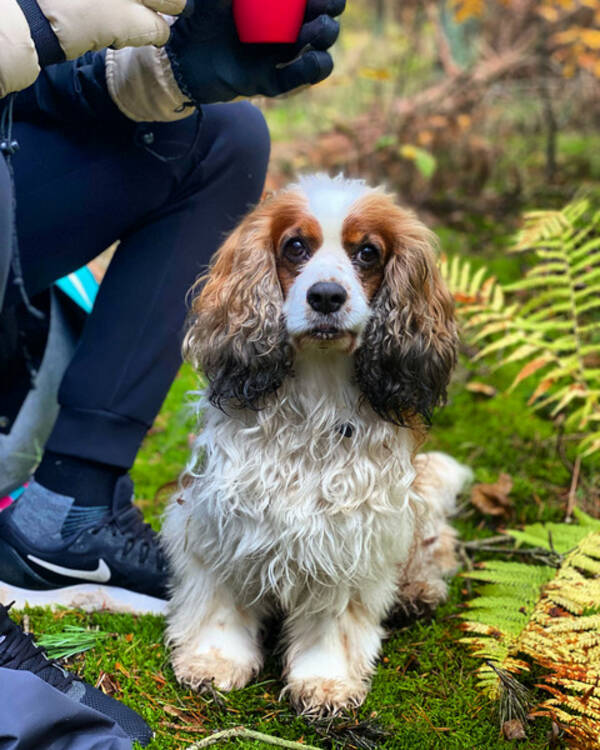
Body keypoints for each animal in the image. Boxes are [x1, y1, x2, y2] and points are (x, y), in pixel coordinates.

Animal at [162, 175, 472, 716]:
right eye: (295, 247)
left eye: (367, 252)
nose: (326, 295)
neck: (316, 399)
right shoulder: (223, 517)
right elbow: (222, 597)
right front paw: (215, 659)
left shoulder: (351, 534)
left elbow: (334, 618)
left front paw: (325, 680)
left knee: (435, 543)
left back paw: (418, 589)